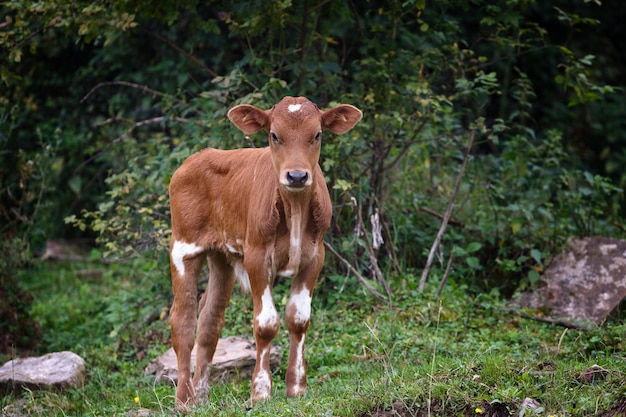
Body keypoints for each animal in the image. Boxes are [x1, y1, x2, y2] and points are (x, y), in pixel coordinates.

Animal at [167, 96, 360, 408]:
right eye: (274, 135)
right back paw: (184, 400)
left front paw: (296, 387)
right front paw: (260, 391)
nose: (297, 175)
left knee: (209, 322)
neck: (294, 210)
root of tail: (197, 157)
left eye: (317, 134)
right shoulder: (256, 256)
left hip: (221, 256)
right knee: (183, 322)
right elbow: (266, 323)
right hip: (184, 246)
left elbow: (299, 317)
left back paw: (201, 398)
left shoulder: (315, 256)